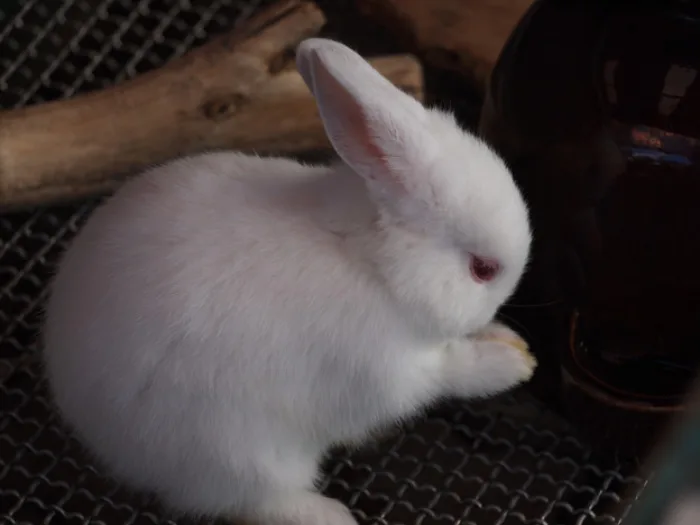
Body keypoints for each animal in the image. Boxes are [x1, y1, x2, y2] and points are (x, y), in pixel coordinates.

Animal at [42, 37, 534, 525]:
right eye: (483, 269)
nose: (501, 305)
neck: (374, 264)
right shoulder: (390, 373)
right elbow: (449, 371)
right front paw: (510, 363)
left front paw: (509, 342)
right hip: (241, 455)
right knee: (255, 501)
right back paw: (331, 516)